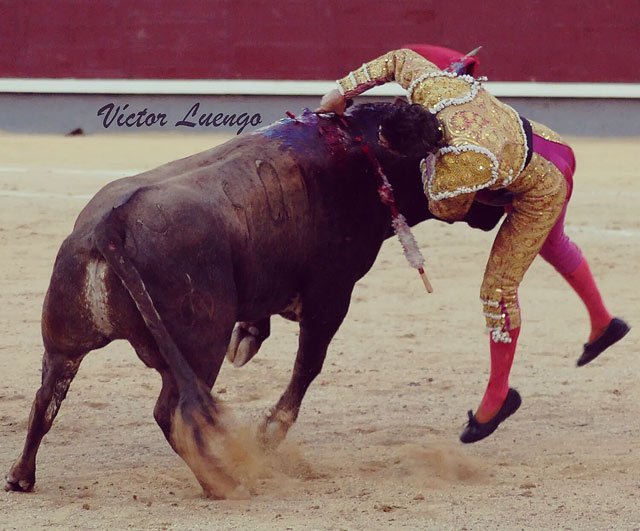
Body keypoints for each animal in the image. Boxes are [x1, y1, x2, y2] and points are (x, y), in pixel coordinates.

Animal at [5, 103, 504, 498]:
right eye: (436, 139)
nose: (498, 198)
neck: (362, 157)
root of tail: (111, 225)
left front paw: (247, 340)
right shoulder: (331, 294)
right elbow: (308, 366)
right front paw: (267, 434)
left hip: (63, 342)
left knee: (46, 398)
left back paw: (20, 477)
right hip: (198, 347)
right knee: (174, 413)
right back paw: (223, 482)